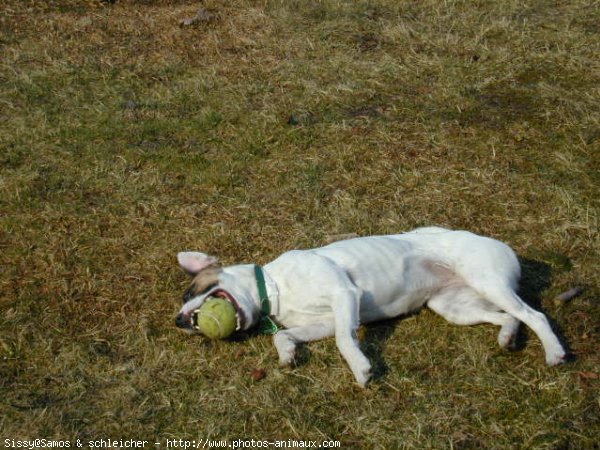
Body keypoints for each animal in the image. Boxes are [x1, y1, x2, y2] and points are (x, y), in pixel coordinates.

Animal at [175, 227, 568, 384]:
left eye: (194, 289)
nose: (179, 320)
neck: (275, 288)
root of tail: (505, 247)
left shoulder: (343, 295)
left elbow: (344, 342)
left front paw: (361, 369)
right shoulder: (325, 320)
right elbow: (282, 336)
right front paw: (287, 355)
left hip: (487, 281)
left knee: (534, 315)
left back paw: (554, 353)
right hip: (454, 307)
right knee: (508, 317)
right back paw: (507, 337)